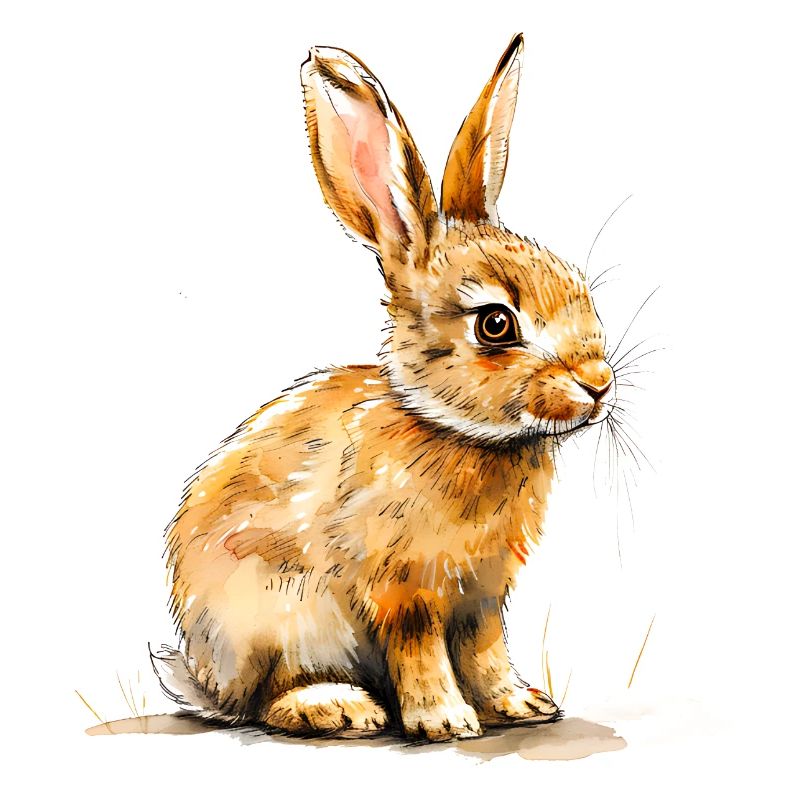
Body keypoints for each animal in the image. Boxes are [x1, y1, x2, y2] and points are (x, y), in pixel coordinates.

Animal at [153, 33, 616, 742]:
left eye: (578, 284)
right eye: (496, 324)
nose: (598, 384)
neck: (459, 433)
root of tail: (205, 679)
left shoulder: (482, 595)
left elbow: (486, 650)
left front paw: (519, 704)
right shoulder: (404, 589)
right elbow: (421, 650)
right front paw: (445, 721)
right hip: (278, 618)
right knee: (267, 701)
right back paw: (339, 707)